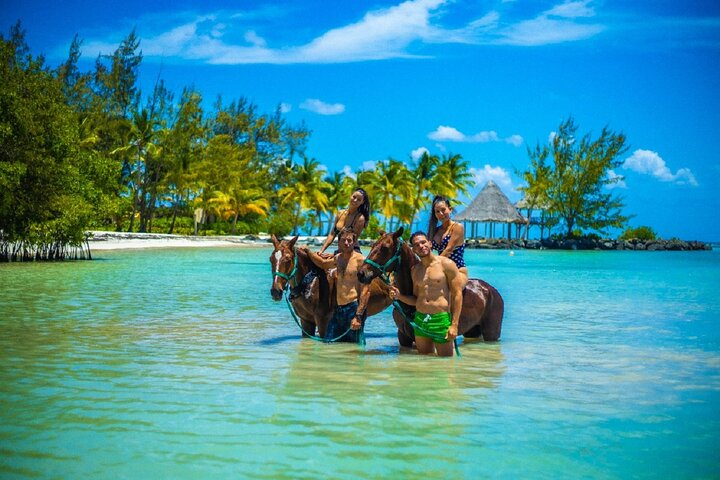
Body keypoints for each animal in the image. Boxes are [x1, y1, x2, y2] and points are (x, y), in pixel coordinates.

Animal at [358, 227, 504, 346]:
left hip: (492, 332)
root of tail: (490, 289)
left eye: (385, 248)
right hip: (472, 330)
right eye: (373, 245)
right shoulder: (403, 337)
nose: (361, 273)